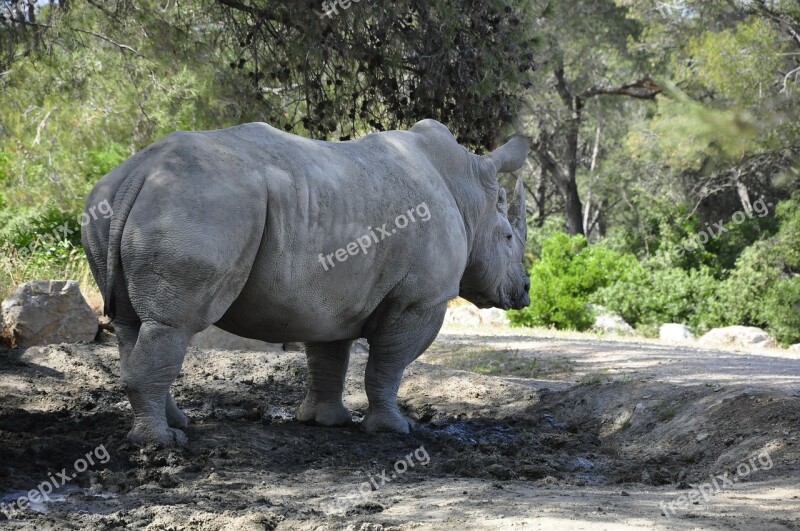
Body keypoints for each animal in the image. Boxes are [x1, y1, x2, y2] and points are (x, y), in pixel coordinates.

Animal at [83, 118, 532, 446]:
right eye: (509, 237)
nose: (525, 291)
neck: (469, 195)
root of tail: (141, 170)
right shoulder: (421, 300)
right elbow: (388, 365)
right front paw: (393, 430)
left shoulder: (334, 297)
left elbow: (328, 358)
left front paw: (324, 422)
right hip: (200, 205)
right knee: (172, 324)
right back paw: (161, 442)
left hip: (111, 203)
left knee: (133, 325)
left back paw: (178, 424)